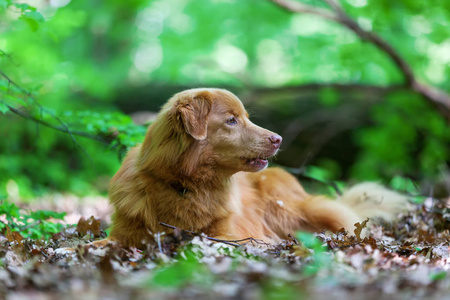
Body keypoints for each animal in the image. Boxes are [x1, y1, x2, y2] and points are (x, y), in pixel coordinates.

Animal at [103, 88, 406, 247]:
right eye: (231, 120)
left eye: (246, 117)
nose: (278, 138)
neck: (187, 185)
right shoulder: (125, 233)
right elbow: (105, 243)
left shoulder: (228, 234)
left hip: (293, 210)